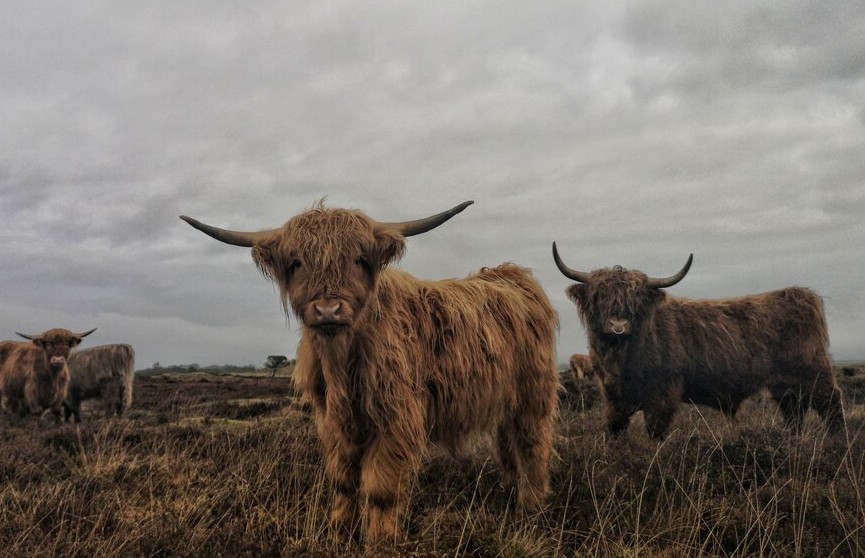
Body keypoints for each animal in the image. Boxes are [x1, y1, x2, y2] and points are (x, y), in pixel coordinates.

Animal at [183, 202, 560, 548]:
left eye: (358, 259)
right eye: (297, 262)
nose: (328, 309)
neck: (341, 365)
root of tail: (511, 274)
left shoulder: (396, 417)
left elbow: (379, 488)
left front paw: (380, 541)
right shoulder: (332, 420)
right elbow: (343, 480)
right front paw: (340, 532)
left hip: (534, 393)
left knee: (532, 444)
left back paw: (530, 507)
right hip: (506, 403)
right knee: (508, 444)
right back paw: (511, 491)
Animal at [552, 245, 844, 442]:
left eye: (635, 302)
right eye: (599, 298)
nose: (618, 326)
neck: (622, 358)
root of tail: (801, 294)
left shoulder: (663, 396)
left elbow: (655, 432)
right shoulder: (613, 397)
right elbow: (615, 429)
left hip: (814, 372)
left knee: (830, 402)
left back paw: (837, 444)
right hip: (784, 384)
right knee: (794, 410)